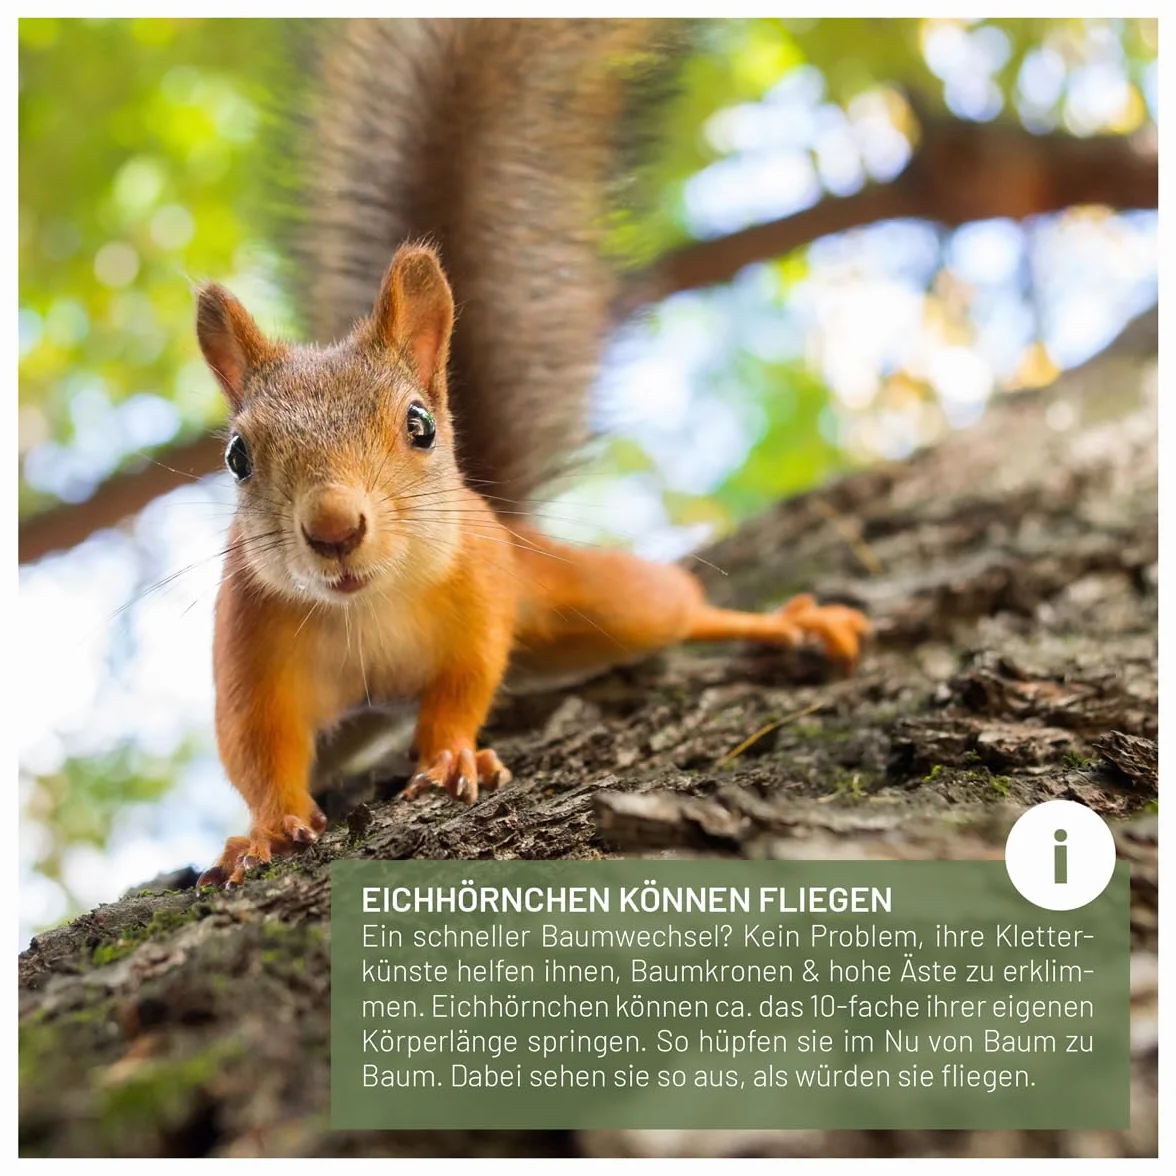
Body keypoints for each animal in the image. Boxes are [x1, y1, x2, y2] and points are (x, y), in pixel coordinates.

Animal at [194, 19, 869, 889]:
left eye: (420, 426)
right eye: (238, 456)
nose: (334, 528)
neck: (365, 608)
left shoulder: (479, 591)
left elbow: (464, 685)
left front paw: (453, 757)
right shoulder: (249, 641)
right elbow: (255, 747)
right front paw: (265, 830)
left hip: (582, 596)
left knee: (672, 610)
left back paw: (784, 623)